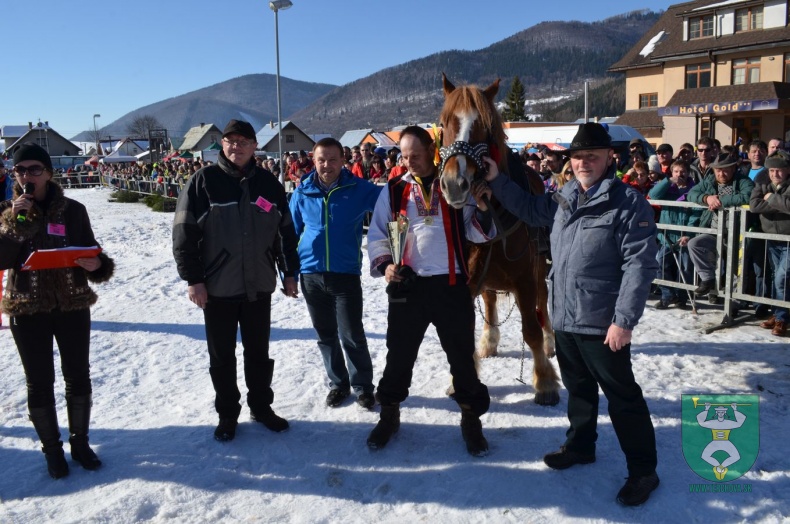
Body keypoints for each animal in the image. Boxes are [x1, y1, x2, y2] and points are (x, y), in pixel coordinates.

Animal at [440, 72, 564, 406]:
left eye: (484, 125)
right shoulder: (468, 277)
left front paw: (545, 382)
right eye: (443, 123)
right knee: (491, 300)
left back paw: (550, 341)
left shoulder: (525, 279)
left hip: (538, 270)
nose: (455, 183)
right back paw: (490, 340)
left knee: (543, 305)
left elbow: (531, 329)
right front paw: (461, 380)